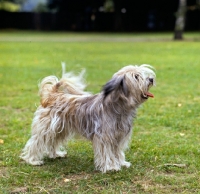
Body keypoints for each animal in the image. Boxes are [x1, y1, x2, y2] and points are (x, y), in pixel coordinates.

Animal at [20, 63, 155, 173]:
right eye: (136, 76)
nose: (151, 79)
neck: (119, 107)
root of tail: (53, 95)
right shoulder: (104, 138)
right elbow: (107, 153)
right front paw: (110, 167)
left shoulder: (119, 137)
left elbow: (117, 152)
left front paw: (121, 163)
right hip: (46, 128)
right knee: (35, 143)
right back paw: (33, 160)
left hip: (59, 129)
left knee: (52, 142)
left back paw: (55, 154)